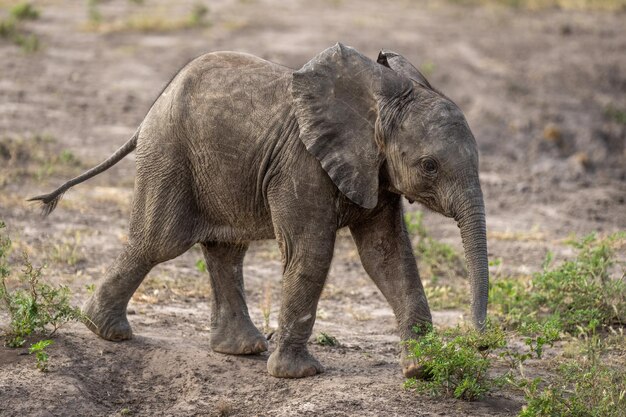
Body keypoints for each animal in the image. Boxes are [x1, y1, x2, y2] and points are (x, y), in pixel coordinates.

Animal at [30, 42, 488, 376]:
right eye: (429, 166)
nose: (481, 344)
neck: (379, 100)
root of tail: (149, 113)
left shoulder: (374, 171)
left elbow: (388, 258)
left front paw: (422, 369)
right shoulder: (302, 164)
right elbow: (311, 253)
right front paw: (299, 375)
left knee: (225, 251)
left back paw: (241, 349)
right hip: (169, 155)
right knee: (157, 243)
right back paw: (104, 331)